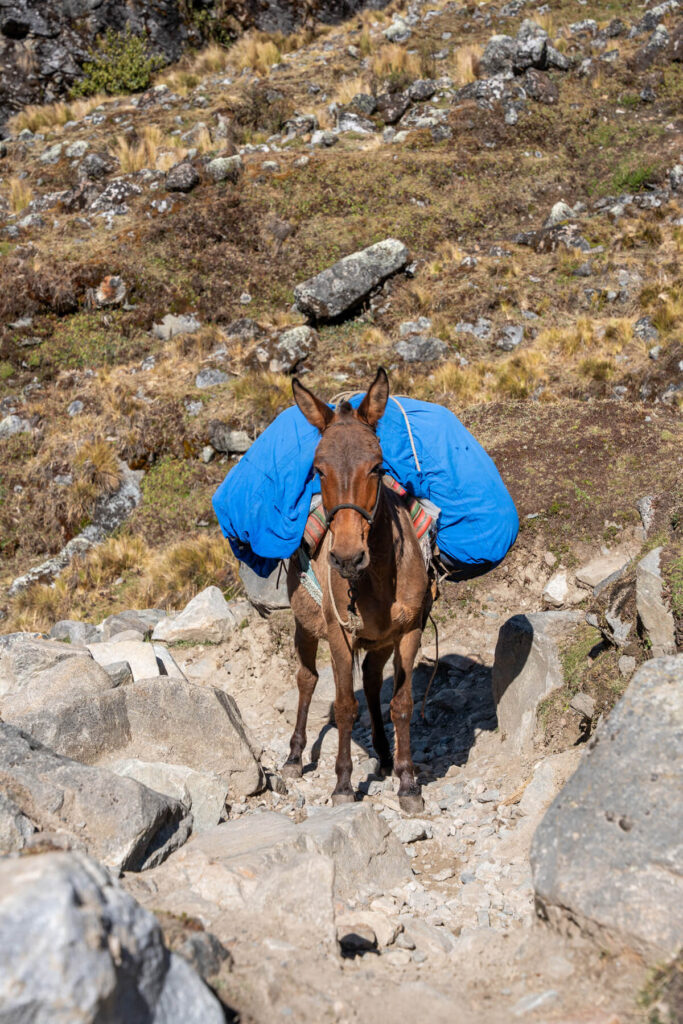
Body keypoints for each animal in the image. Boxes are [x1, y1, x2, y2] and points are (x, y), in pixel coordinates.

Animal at [283, 367, 433, 813]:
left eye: (378, 467)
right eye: (318, 470)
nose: (348, 558)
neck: (378, 580)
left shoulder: (409, 631)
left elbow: (400, 704)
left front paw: (408, 782)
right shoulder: (339, 635)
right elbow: (345, 705)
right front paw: (344, 784)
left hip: (380, 641)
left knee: (370, 679)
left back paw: (384, 755)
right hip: (305, 626)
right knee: (307, 680)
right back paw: (294, 758)